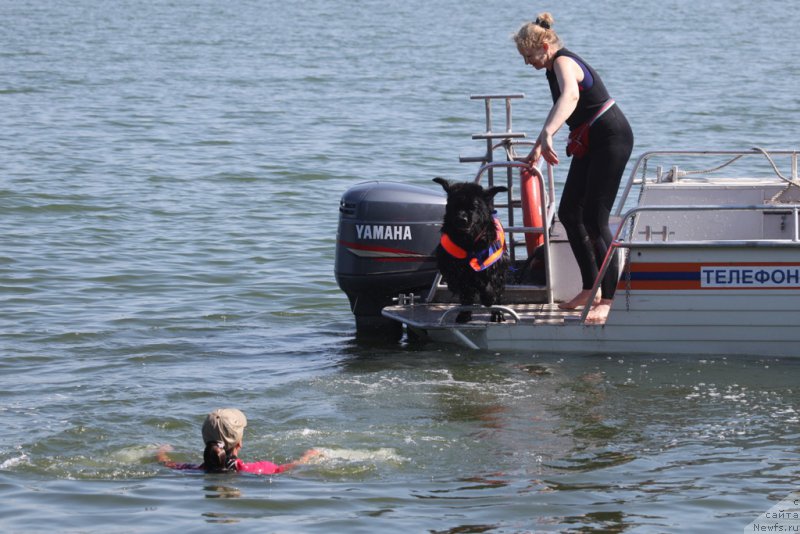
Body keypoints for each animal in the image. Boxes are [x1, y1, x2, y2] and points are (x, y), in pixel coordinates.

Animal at [434, 178, 510, 324]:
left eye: (474, 207)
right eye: (455, 205)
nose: (461, 219)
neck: (468, 242)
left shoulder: (493, 265)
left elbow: (490, 285)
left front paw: (489, 298)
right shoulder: (452, 268)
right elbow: (465, 288)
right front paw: (465, 312)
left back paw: (497, 313)